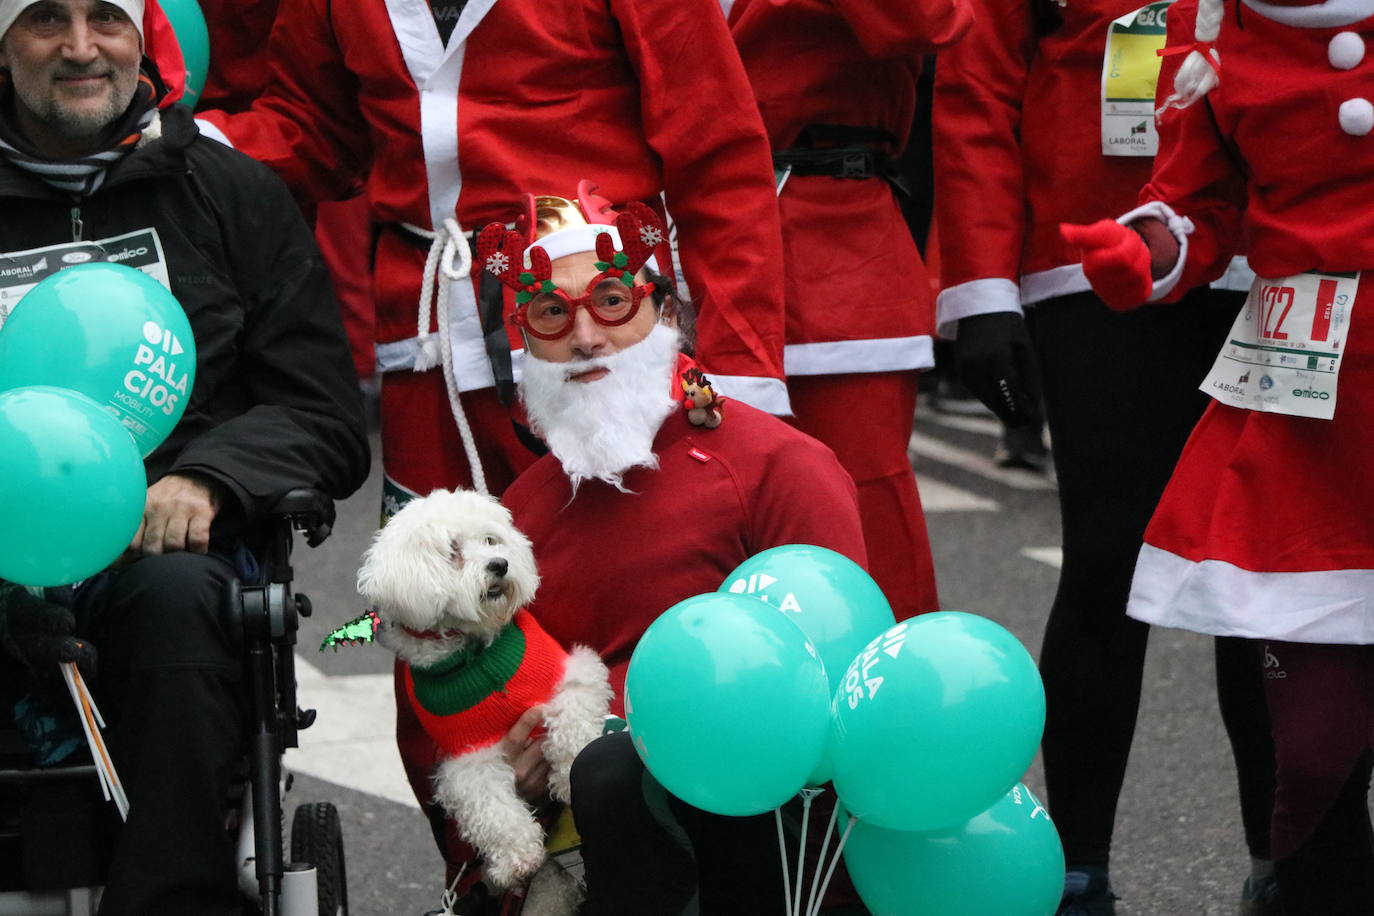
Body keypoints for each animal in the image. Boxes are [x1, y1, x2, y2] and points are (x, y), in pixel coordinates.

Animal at [357, 483, 610, 911]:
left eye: (492, 540)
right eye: (453, 551)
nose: (500, 565)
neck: (477, 652)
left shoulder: (572, 675)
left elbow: (572, 727)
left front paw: (570, 776)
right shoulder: (467, 755)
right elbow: (490, 806)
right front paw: (516, 858)